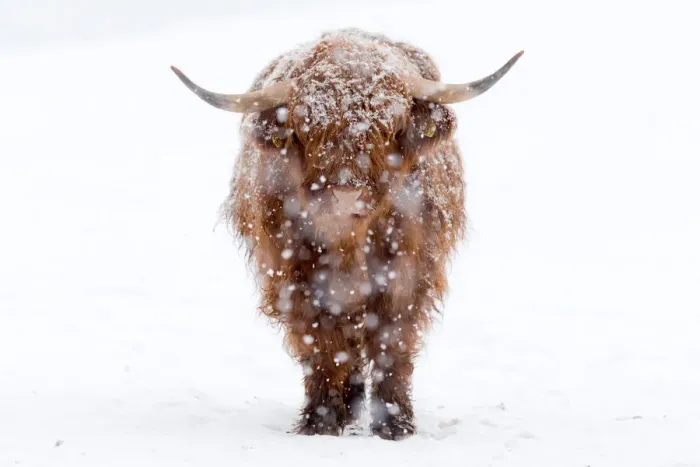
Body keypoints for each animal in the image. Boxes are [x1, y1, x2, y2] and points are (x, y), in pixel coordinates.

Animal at [171, 28, 522, 440]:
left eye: (390, 125)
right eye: (308, 125)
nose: (345, 193)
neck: (348, 241)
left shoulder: (407, 273)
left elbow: (392, 340)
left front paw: (394, 424)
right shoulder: (294, 277)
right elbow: (320, 346)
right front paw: (319, 421)